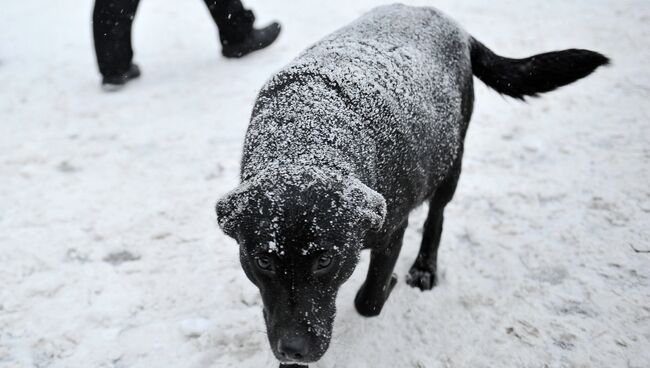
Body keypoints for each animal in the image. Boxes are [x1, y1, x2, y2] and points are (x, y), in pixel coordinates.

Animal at [215, 3, 604, 366]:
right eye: (263, 261)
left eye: (325, 260)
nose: (295, 349)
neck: (308, 137)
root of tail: (452, 25)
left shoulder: (391, 228)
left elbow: (369, 300)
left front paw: (388, 285)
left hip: (451, 162)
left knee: (436, 218)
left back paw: (424, 269)